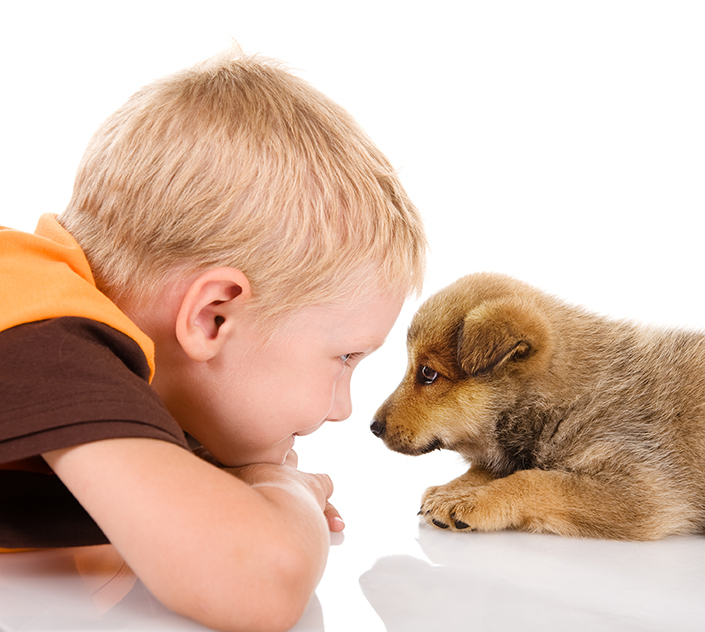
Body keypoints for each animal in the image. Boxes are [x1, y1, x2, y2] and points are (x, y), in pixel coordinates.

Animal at [372, 272, 704, 540]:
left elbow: (536, 480)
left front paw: (471, 501)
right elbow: (494, 469)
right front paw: (453, 488)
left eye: (428, 373)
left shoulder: (645, 490)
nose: (373, 427)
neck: (568, 400)